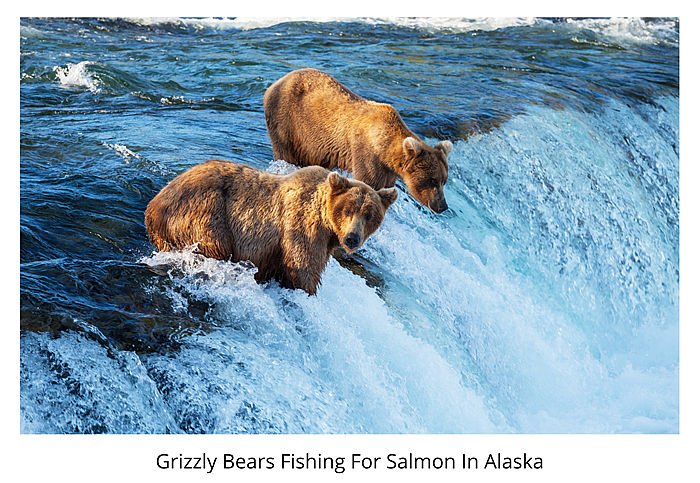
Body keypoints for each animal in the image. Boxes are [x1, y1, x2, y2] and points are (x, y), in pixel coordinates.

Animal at [144, 160, 397, 295]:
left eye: (369, 215)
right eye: (347, 210)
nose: (352, 238)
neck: (328, 226)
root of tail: (152, 207)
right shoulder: (301, 228)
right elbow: (302, 268)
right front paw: (307, 290)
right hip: (205, 212)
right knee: (214, 244)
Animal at [263, 68, 453, 213]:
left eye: (444, 180)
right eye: (433, 180)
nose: (442, 206)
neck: (384, 148)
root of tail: (275, 83)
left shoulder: (388, 170)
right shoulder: (367, 154)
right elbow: (368, 181)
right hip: (288, 122)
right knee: (286, 152)